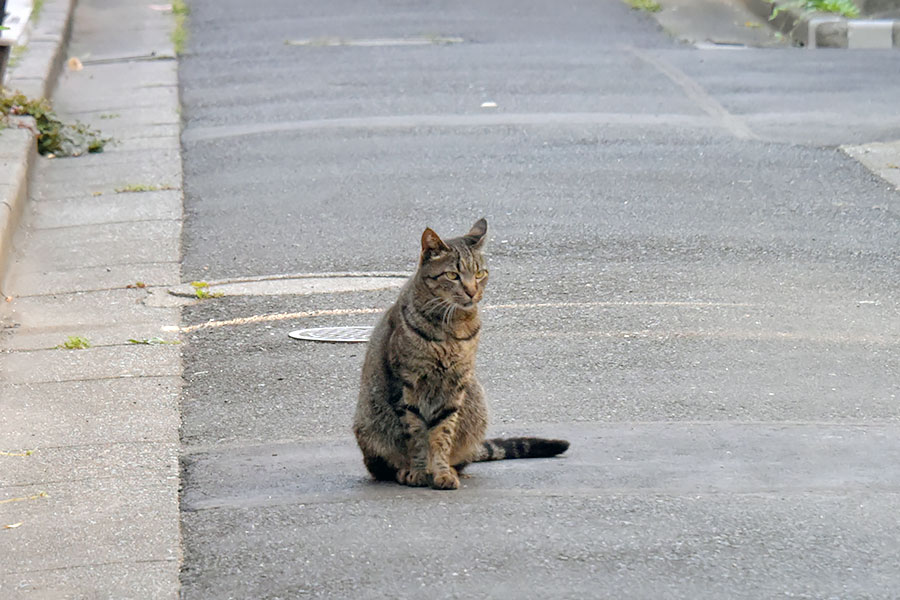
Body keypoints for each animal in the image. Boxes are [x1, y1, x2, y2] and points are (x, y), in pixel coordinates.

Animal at [354, 218, 568, 490]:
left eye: (479, 273)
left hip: (475, 399)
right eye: (452, 275)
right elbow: (416, 435)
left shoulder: (455, 385)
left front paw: (442, 472)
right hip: (370, 422)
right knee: (380, 467)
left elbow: (442, 434)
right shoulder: (406, 385)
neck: (453, 325)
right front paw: (419, 471)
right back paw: (403, 470)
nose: (472, 291)